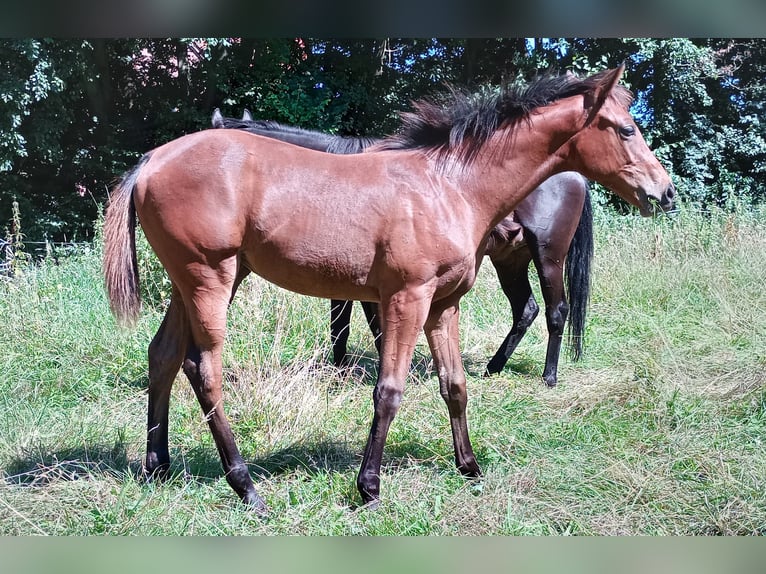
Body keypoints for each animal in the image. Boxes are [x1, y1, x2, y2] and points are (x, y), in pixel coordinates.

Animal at [210, 109, 592, 388]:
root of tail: (574, 174)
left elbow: (358, 326)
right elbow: (346, 325)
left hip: (548, 256)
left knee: (557, 310)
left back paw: (549, 376)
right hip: (509, 261)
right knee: (525, 310)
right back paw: (493, 367)